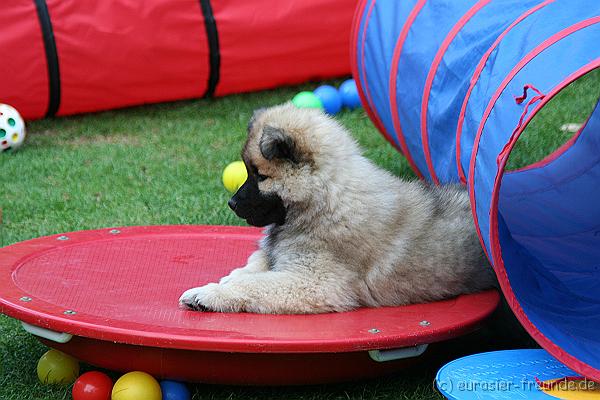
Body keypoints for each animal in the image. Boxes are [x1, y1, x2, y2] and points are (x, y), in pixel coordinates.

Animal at [179, 104, 496, 316]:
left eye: (260, 176)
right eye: (247, 171)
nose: (232, 204)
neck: (324, 198)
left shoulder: (314, 282)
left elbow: (255, 284)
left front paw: (208, 293)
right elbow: (256, 265)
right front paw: (229, 277)